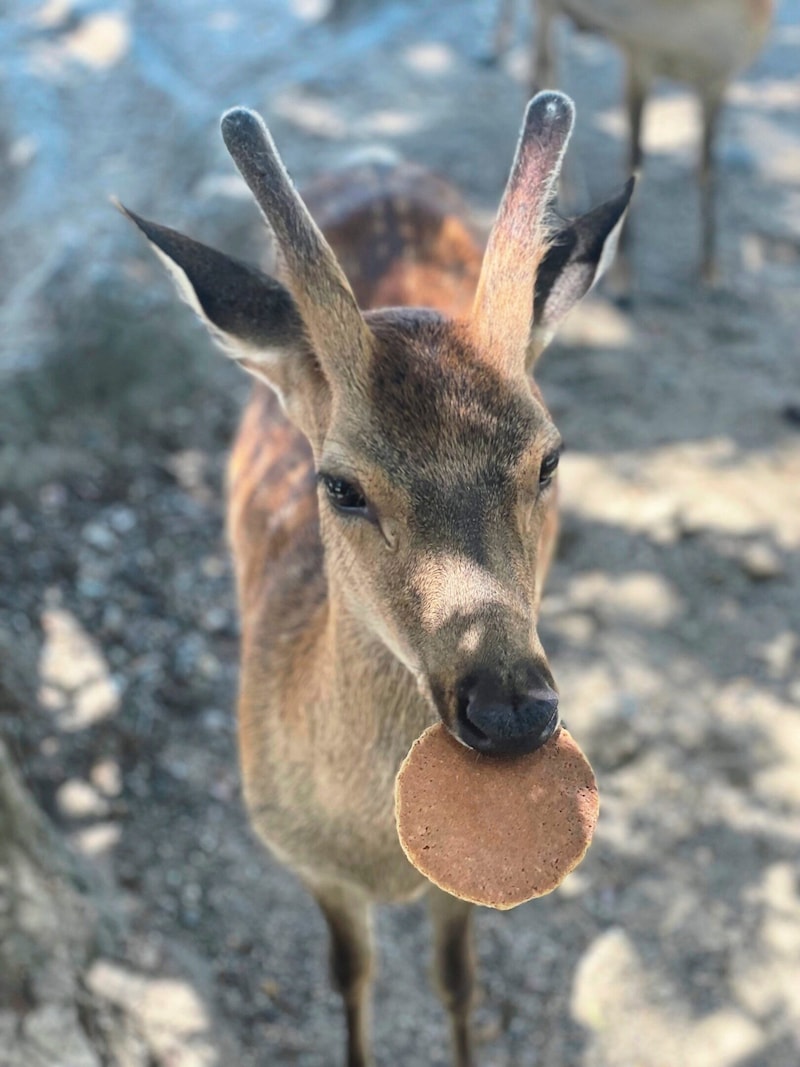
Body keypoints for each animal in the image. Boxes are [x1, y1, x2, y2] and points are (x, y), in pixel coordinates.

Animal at [120, 91, 631, 1067]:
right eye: (340, 484)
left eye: (549, 457)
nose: (512, 711)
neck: (375, 852)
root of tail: (383, 160)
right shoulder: (303, 857)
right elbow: (349, 976)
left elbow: (458, 982)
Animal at [492, 0, 772, 281]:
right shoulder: (638, 57)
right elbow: (635, 161)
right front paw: (621, 273)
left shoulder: (718, 78)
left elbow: (708, 170)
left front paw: (710, 268)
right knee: (543, 74)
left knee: (544, 74)